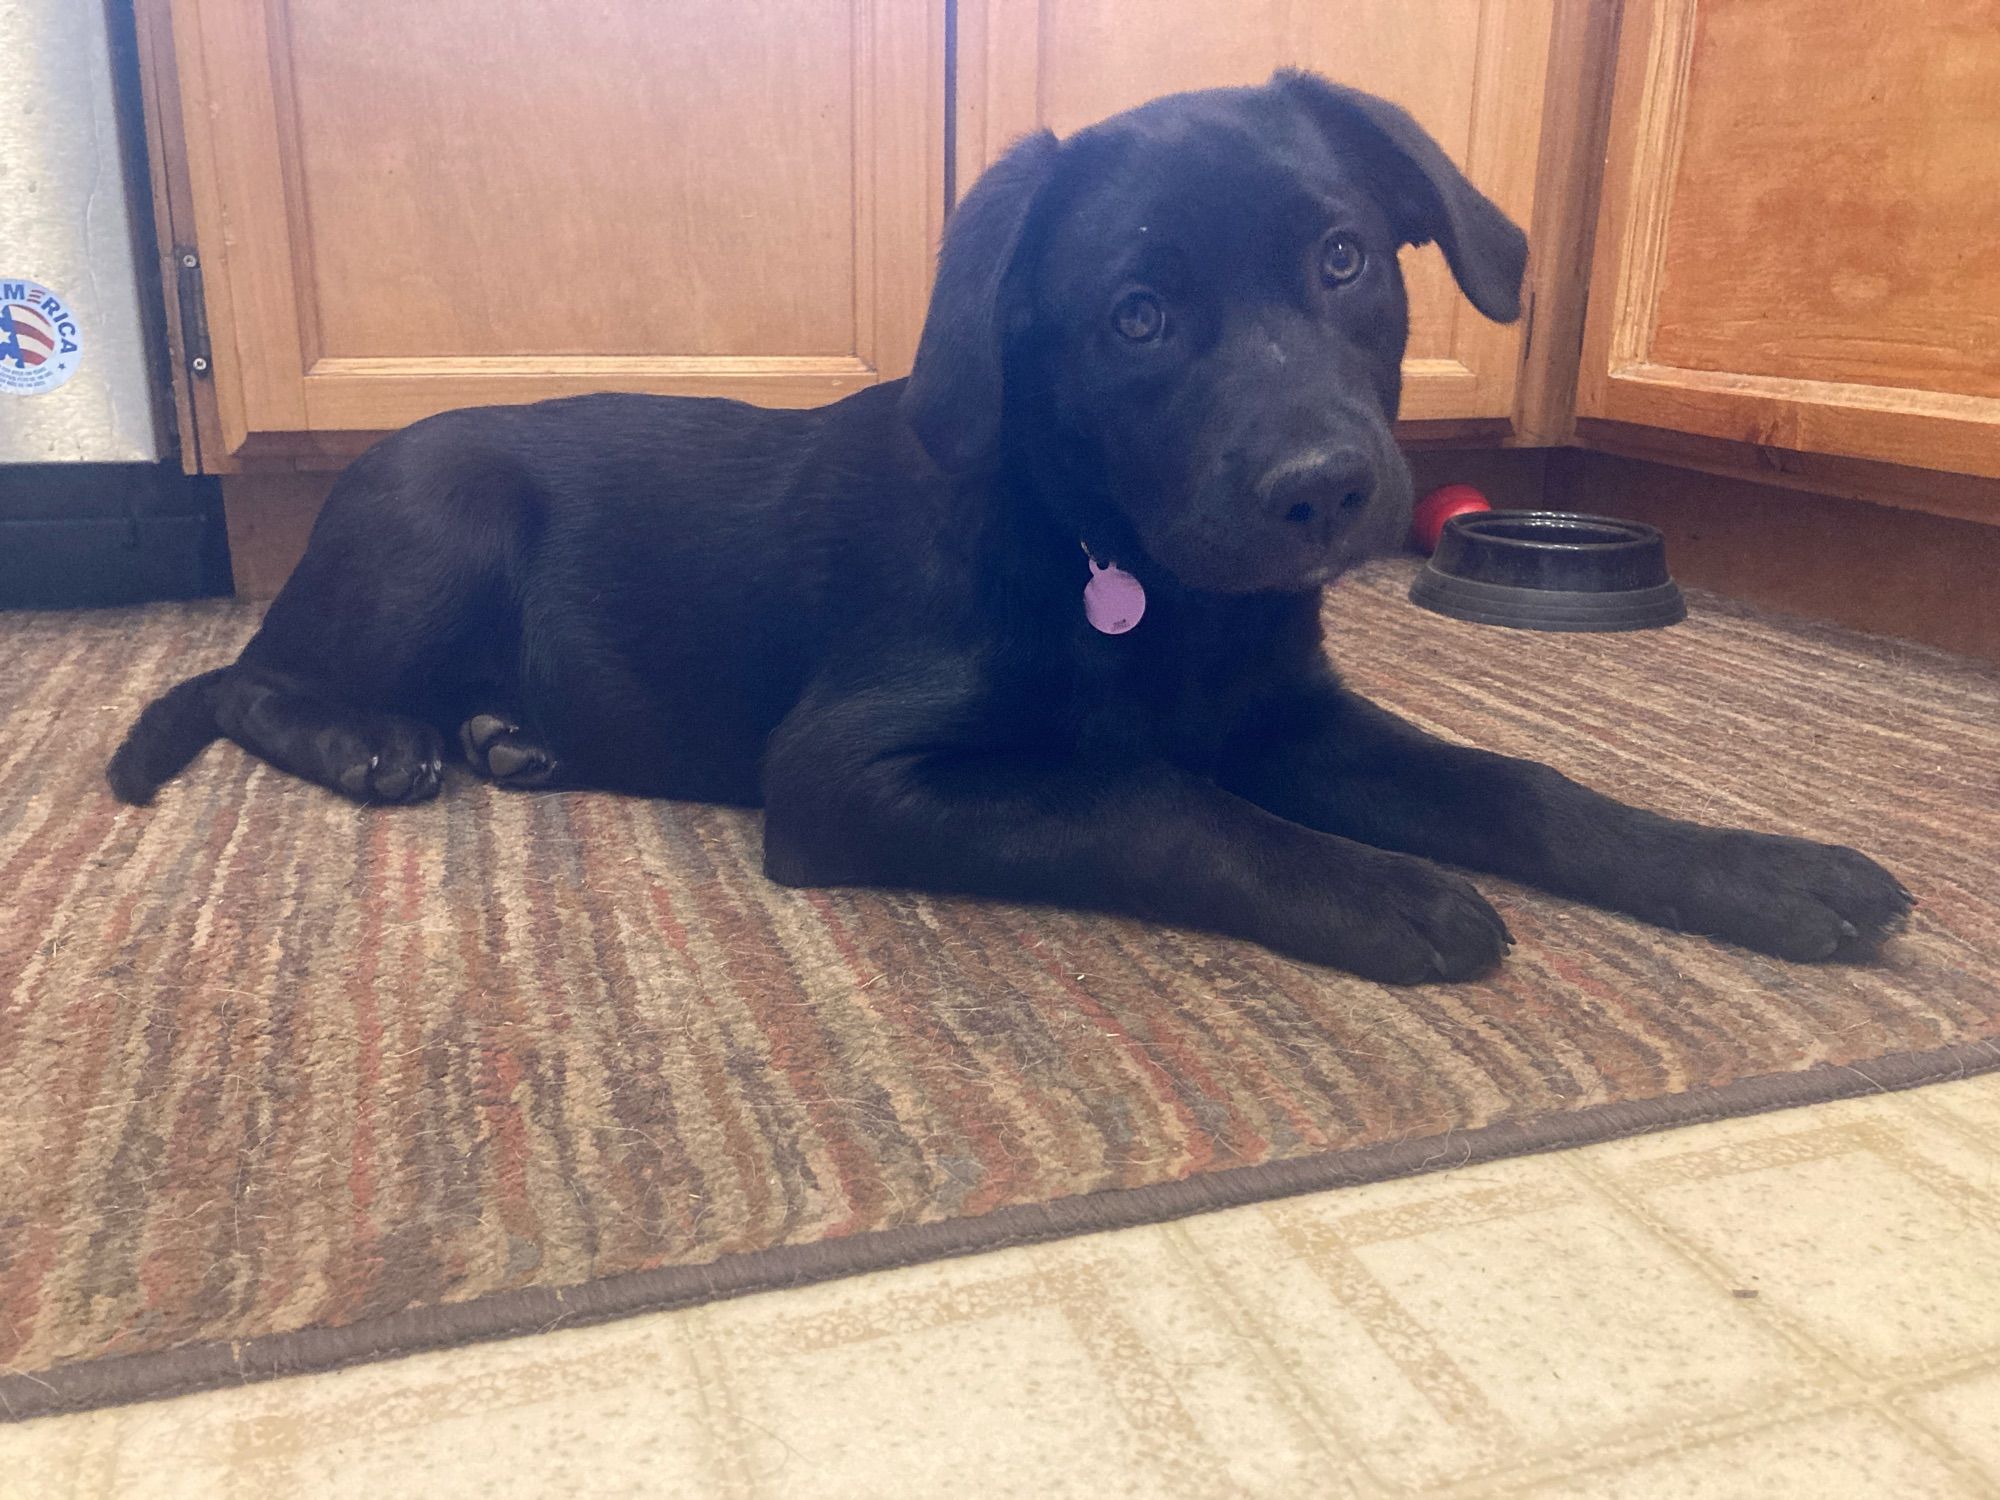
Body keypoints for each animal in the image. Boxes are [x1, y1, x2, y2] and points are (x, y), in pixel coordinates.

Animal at [105, 73, 1904, 988]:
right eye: (1136, 316)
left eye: (1341, 259)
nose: (1327, 492)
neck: (1142, 579)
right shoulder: (852, 772)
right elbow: (1150, 799)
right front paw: (1380, 892)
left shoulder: (1288, 719)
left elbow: (1519, 784)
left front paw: (1760, 873)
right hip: (440, 514)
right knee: (250, 680)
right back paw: (379, 742)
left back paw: (515, 737)